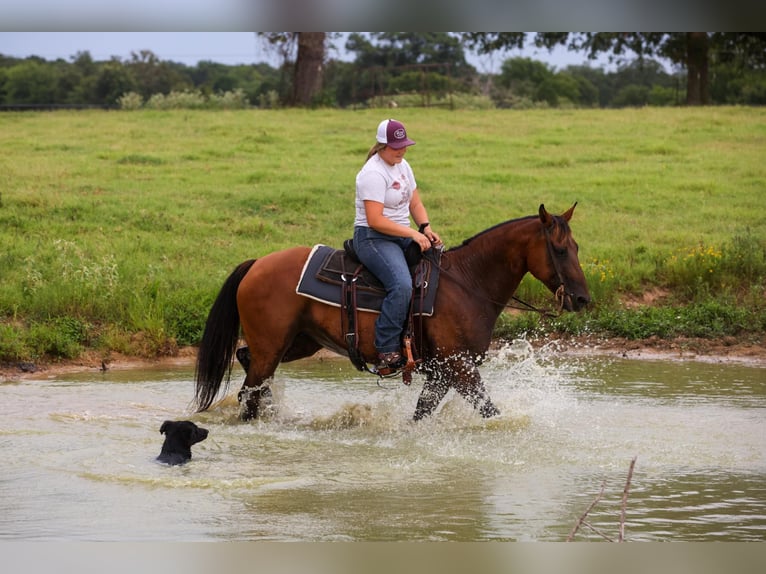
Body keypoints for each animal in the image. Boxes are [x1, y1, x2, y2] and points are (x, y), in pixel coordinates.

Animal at [194, 203, 591, 421]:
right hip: (273, 346)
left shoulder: (442, 373)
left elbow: (421, 414)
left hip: (298, 342)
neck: (467, 282)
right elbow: (490, 411)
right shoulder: (460, 367)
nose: (583, 299)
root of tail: (257, 263)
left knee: (249, 366)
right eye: (558, 250)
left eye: (575, 246)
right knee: (250, 390)